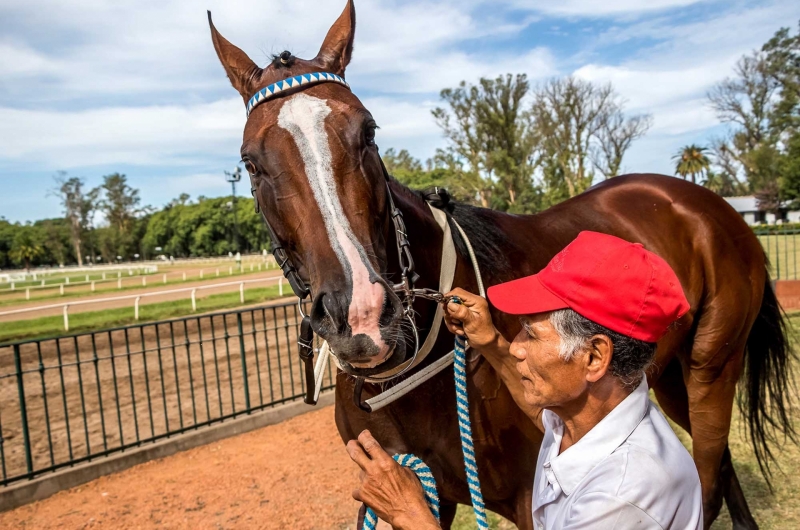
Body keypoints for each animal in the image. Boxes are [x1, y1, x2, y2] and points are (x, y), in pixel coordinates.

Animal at [209, 2, 796, 524]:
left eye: (368, 131)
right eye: (250, 162)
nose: (362, 316)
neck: (412, 380)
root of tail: (706, 203)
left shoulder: (529, 494)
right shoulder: (416, 490)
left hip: (711, 369)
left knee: (710, 476)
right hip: (669, 376)